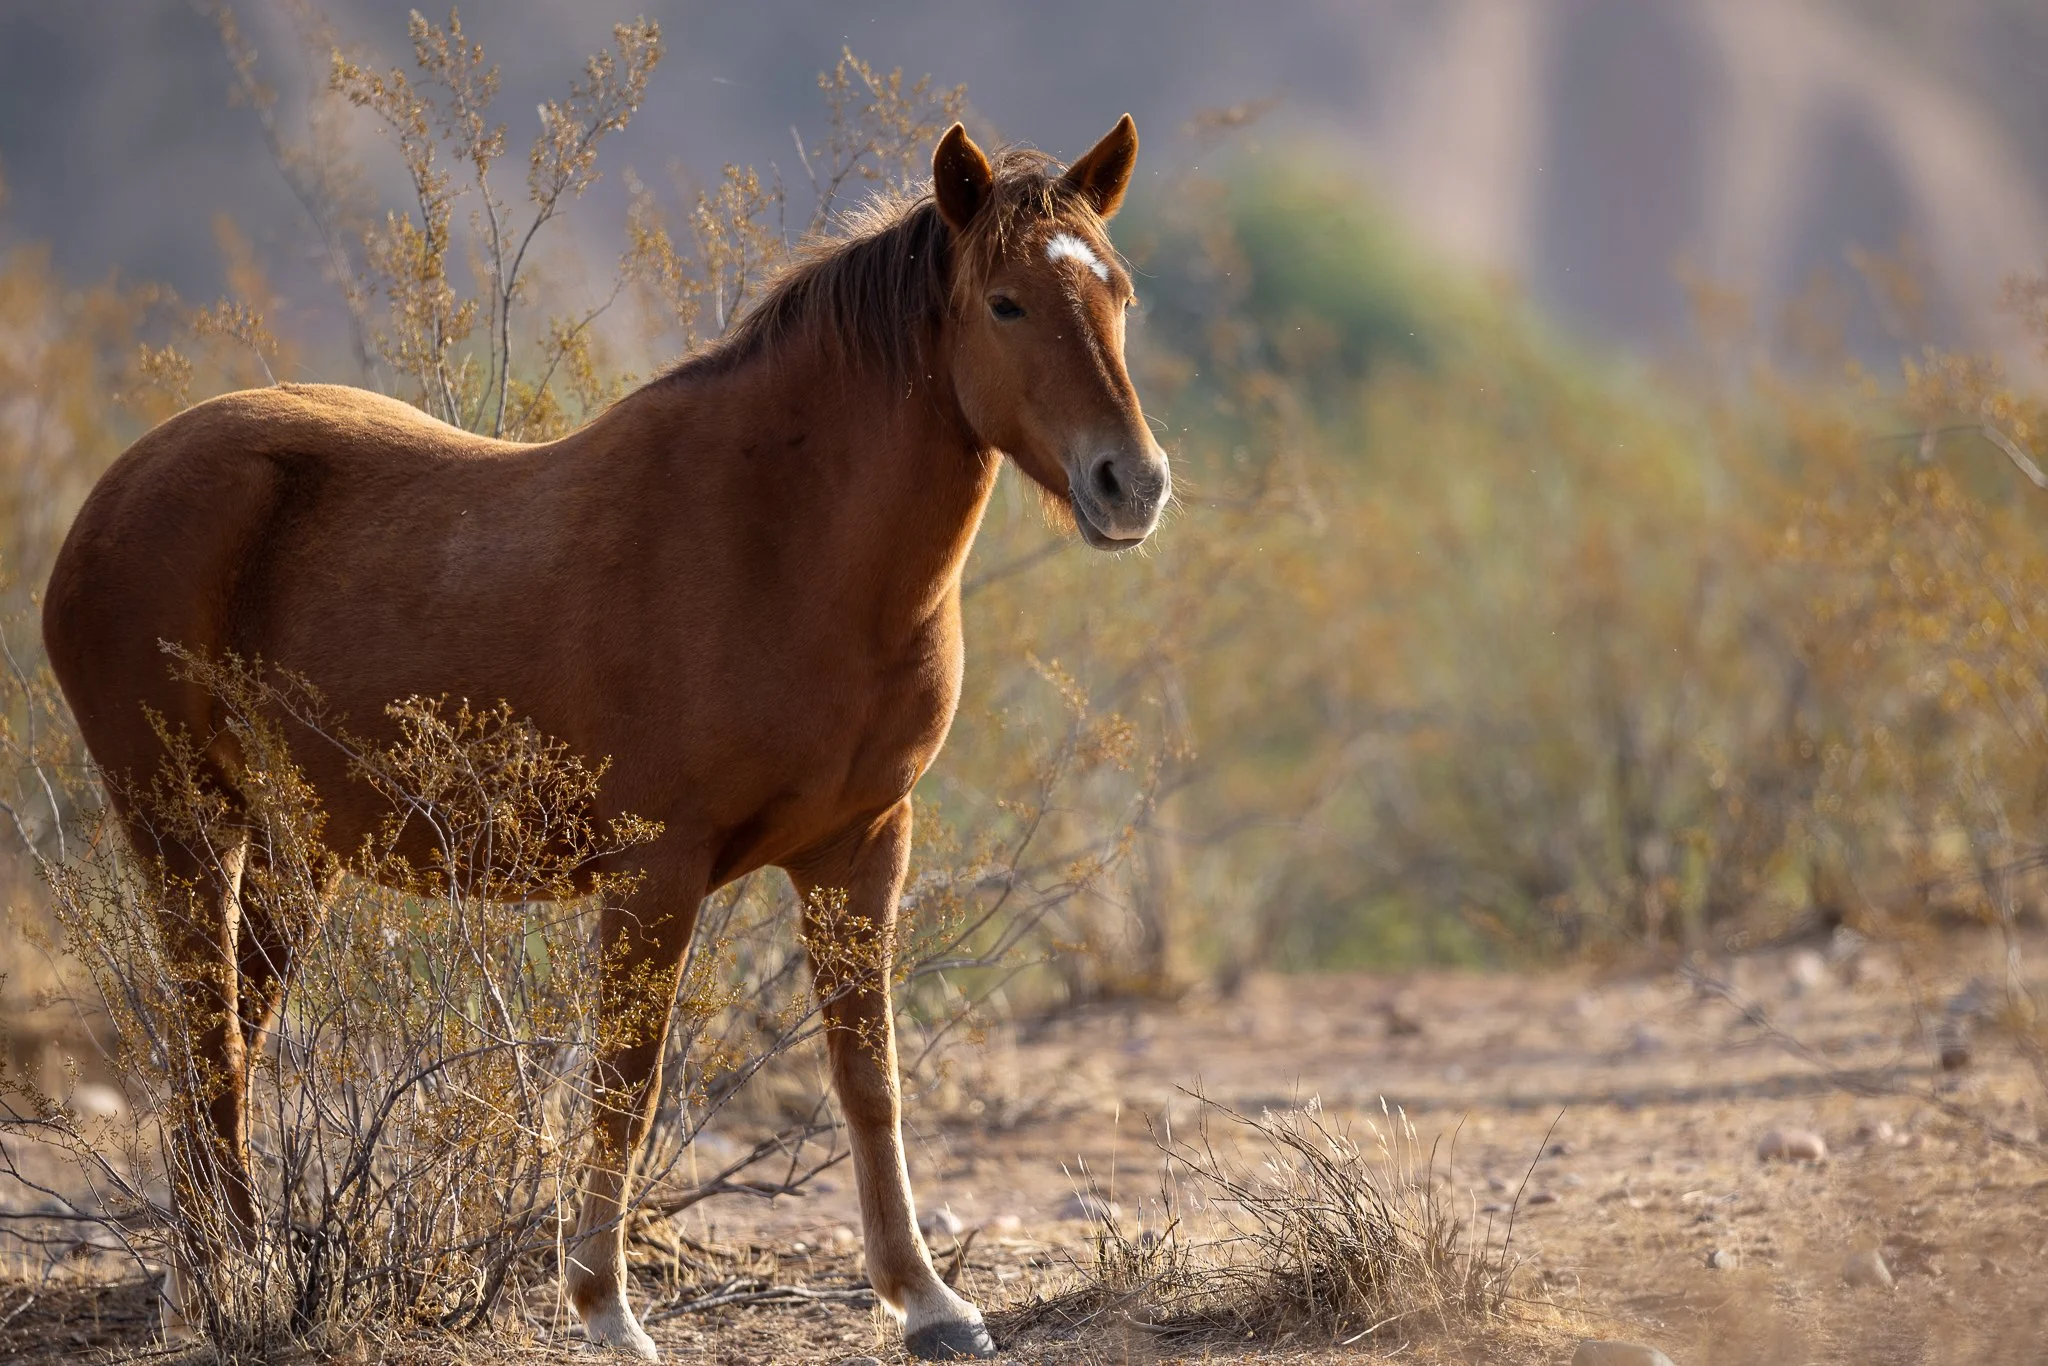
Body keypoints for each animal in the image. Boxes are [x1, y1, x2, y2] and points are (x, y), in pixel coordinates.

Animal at [41, 115, 1167, 1359]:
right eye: (1005, 303)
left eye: (1117, 293)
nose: (1131, 482)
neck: (783, 541)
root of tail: (114, 494)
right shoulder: (653, 869)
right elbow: (627, 1082)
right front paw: (605, 1306)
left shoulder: (863, 845)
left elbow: (866, 1076)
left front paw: (926, 1297)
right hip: (182, 825)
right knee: (204, 1031)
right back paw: (214, 1281)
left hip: (294, 854)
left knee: (228, 1036)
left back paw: (219, 1273)